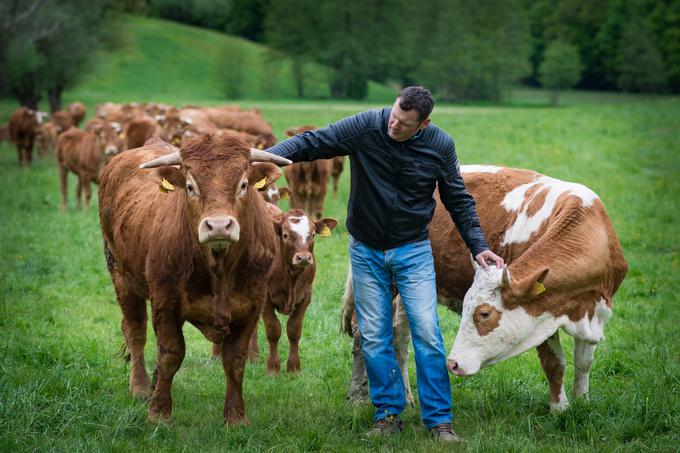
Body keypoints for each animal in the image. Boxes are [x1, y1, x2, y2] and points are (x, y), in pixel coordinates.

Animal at [99, 134, 290, 424]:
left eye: (244, 185)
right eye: (190, 187)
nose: (219, 226)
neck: (219, 269)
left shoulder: (251, 306)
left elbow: (235, 360)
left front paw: (235, 417)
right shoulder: (165, 304)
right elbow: (171, 354)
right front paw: (159, 412)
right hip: (121, 276)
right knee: (135, 332)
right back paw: (141, 387)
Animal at [342, 164, 628, 412]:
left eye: (484, 313)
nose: (453, 363)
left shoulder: (594, 310)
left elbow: (584, 362)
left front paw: (582, 402)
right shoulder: (542, 313)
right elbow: (554, 363)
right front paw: (560, 408)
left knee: (399, 337)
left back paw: (407, 398)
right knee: (363, 334)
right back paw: (357, 397)